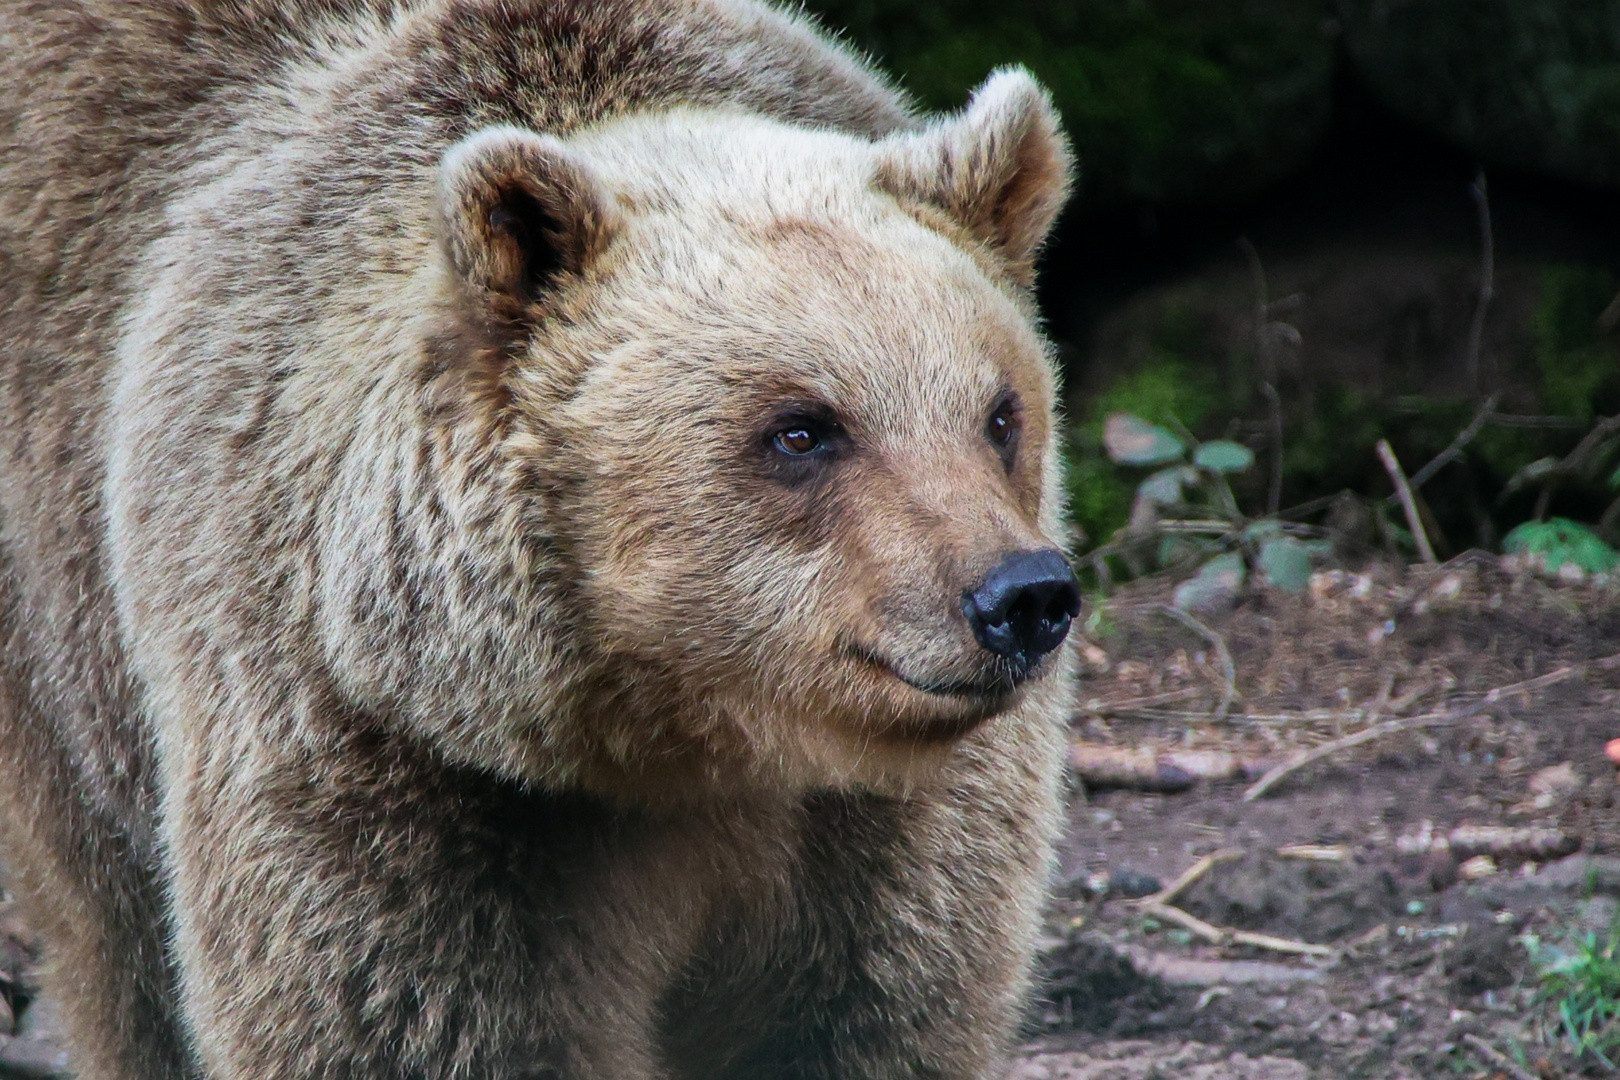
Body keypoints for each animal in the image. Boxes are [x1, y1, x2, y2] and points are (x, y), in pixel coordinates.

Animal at [3, 0, 1088, 1075]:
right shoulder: (381, 761)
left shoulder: (880, 827)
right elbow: (397, 1012)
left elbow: (873, 1007)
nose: (1019, 596)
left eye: (999, 414)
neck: (682, 742)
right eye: (802, 429)